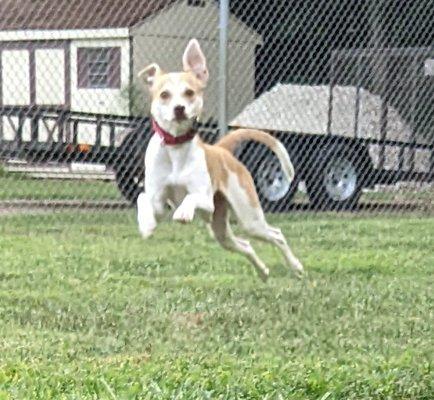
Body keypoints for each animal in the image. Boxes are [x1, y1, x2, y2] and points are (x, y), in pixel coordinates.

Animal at [137, 39, 304, 280]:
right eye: (164, 94)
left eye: (189, 92)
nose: (179, 109)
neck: (176, 148)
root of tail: (221, 149)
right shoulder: (158, 201)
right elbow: (143, 199)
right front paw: (146, 224)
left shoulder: (205, 199)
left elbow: (191, 197)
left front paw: (184, 212)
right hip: (221, 231)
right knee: (245, 245)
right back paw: (263, 271)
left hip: (248, 216)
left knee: (276, 234)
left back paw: (295, 266)